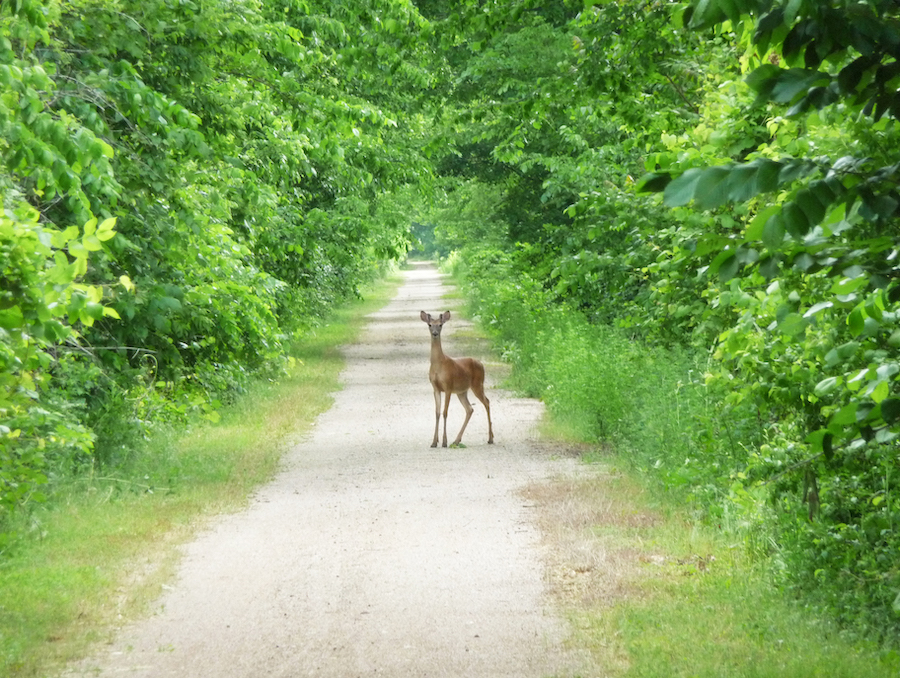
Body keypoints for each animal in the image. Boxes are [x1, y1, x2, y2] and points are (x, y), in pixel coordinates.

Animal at [420, 310, 496, 448]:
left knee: (487, 402)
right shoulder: (435, 388)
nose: (435, 333)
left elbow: (445, 412)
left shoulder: (448, 386)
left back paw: (490, 438)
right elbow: (437, 413)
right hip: (462, 391)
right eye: (429, 325)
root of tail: (481, 363)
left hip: (478, 384)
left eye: (440, 325)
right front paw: (434, 442)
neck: (438, 364)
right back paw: (456, 440)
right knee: (470, 409)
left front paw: (444, 441)